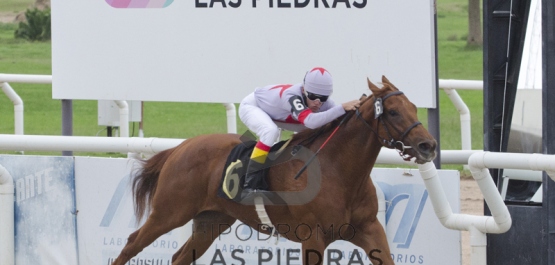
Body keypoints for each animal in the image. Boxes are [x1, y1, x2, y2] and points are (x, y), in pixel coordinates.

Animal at [113, 75, 436, 262]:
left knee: (179, 257)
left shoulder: (369, 229)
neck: (340, 172)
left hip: (210, 220)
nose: (428, 146)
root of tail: (181, 147)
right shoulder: (313, 236)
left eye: (414, 108)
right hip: (169, 212)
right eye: (392, 111)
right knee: (131, 245)